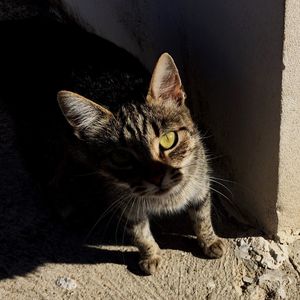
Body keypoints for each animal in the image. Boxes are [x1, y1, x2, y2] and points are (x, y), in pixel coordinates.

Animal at [56, 52, 225, 274]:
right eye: (121, 157)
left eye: (168, 139)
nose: (157, 177)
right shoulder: (125, 205)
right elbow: (139, 234)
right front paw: (150, 255)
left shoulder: (201, 184)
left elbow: (202, 217)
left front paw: (209, 240)